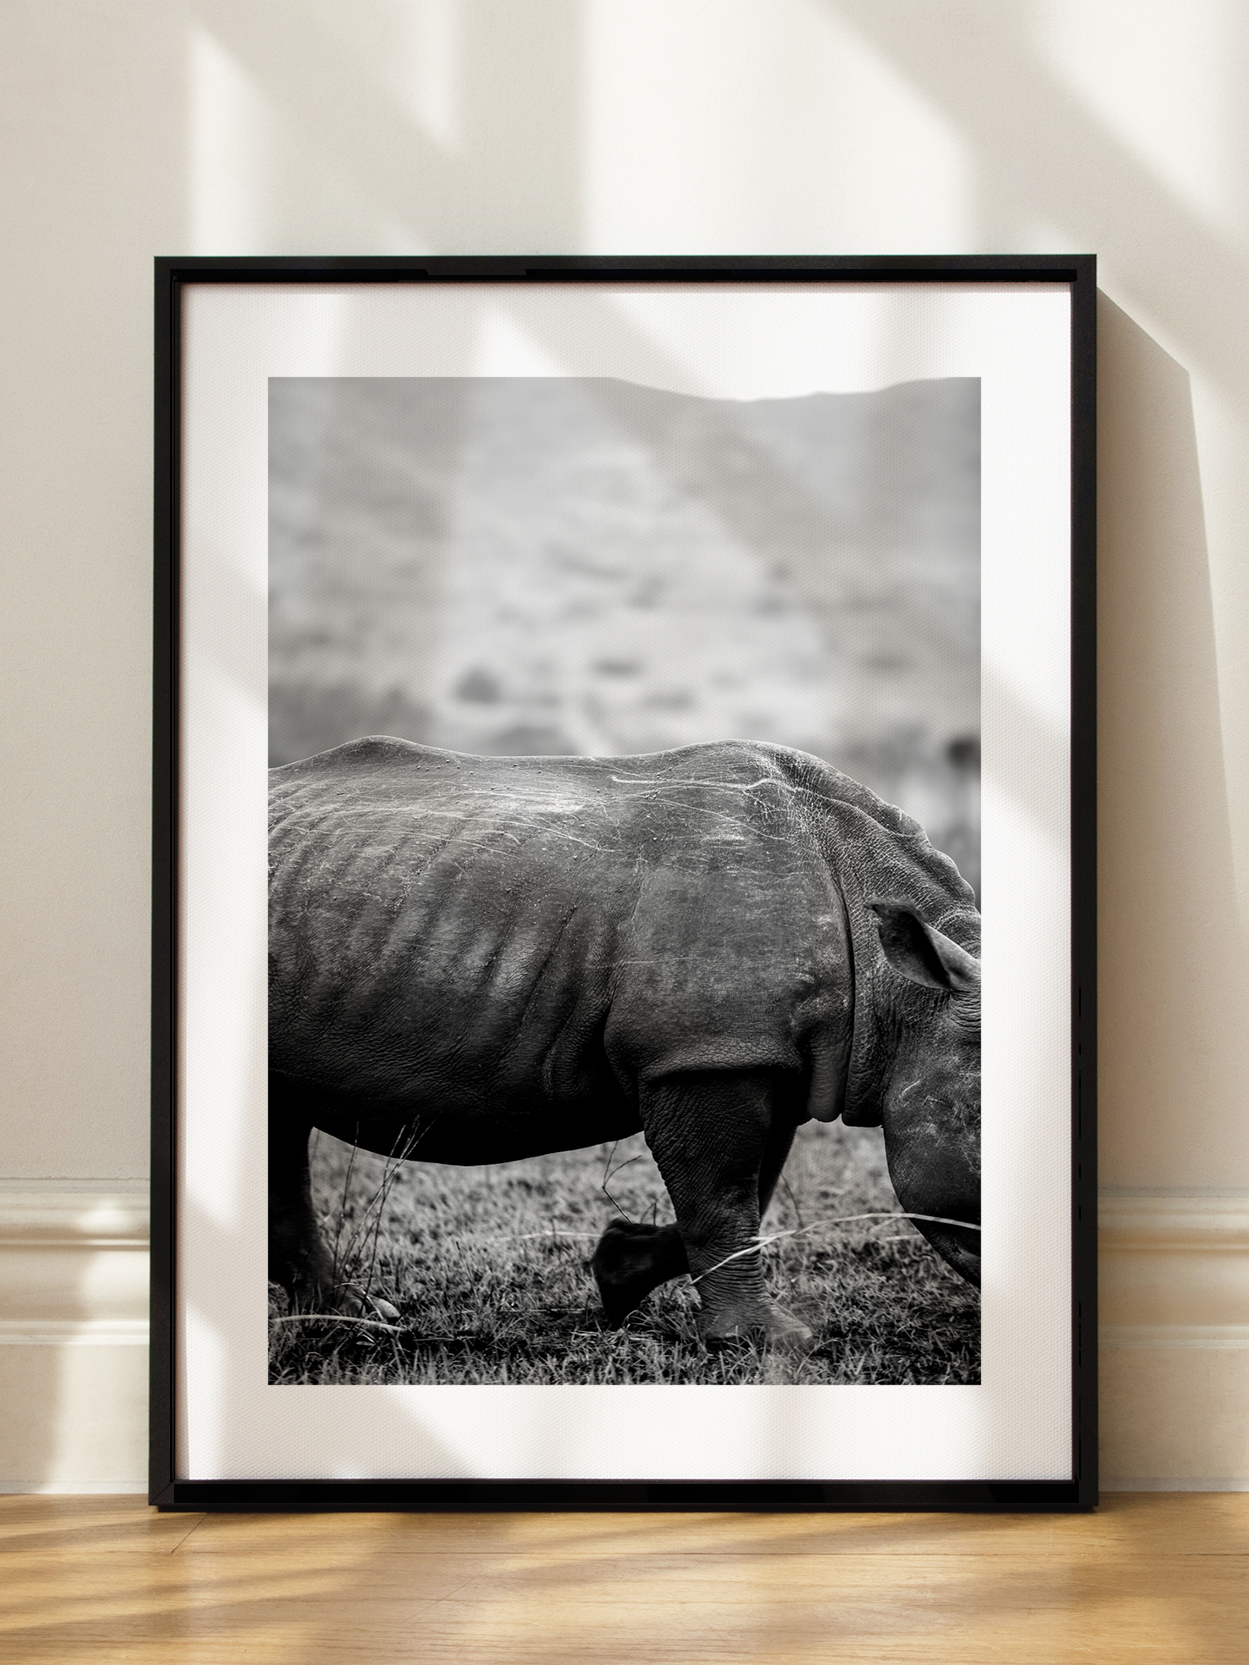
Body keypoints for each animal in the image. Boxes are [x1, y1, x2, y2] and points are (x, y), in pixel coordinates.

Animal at [268, 736, 980, 1346]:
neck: (906, 996)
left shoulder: (758, 1052)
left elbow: (750, 1188)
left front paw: (619, 1274)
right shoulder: (703, 1052)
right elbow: (723, 1195)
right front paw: (763, 1342)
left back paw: (351, 1313)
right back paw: (358, 1317)